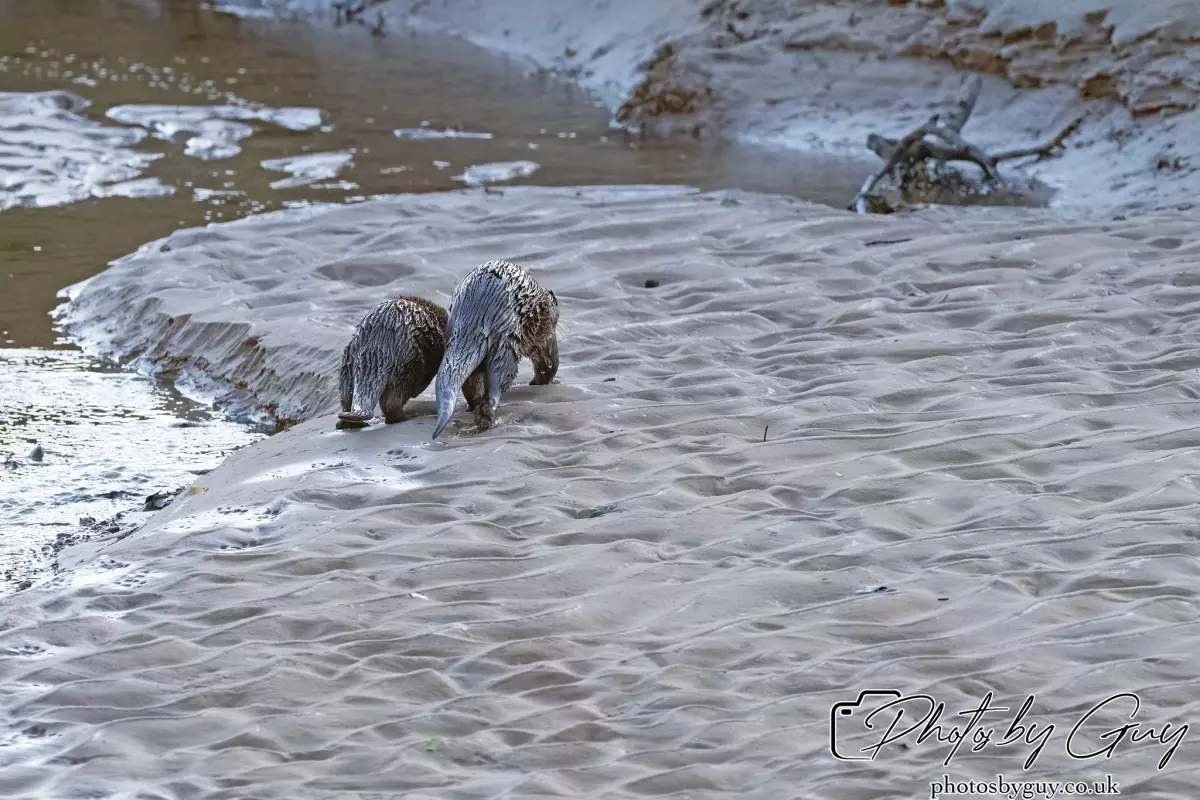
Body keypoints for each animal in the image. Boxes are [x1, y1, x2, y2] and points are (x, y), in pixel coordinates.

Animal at [336, 295, 449, 430]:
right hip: (407, 365)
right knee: (391, 403)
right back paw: (403, 418)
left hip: (348, 362)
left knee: (346, 399)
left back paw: (347, 424)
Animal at [431, 260, 559, 439]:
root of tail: (477, 318)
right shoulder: (544, 337)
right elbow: (548, 364)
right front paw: (541, 382)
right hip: (505, 344)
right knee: (499, 377)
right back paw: (486, 414)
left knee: (470, 383)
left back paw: (475, 408)